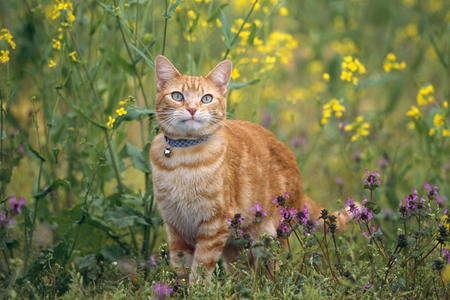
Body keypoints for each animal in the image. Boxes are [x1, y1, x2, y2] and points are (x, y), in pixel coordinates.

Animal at [149, 55, 354, 282]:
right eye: (177, 96)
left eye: (206, 98)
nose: (192, 109)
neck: (184, 160)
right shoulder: (176, 226)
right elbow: (180, 268)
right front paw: (175, 288)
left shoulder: (214, 225)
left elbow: (201, 267)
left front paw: (196, 287)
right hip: (237, 243)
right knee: (241, 271)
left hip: (269, 236)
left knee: (276, 268)